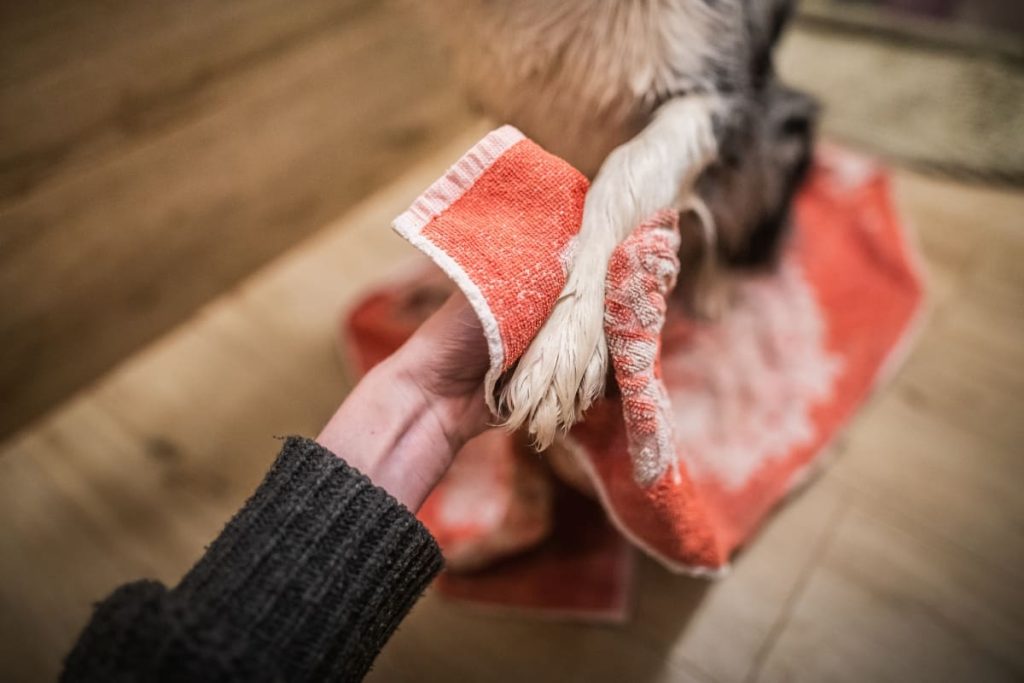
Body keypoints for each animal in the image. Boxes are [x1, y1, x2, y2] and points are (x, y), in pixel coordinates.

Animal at [413, 1, 815, 448]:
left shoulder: (712, 90)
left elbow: (622, 170)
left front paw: (565, 337)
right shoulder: (517, 97)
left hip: (777, 137)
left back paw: (714, 288)